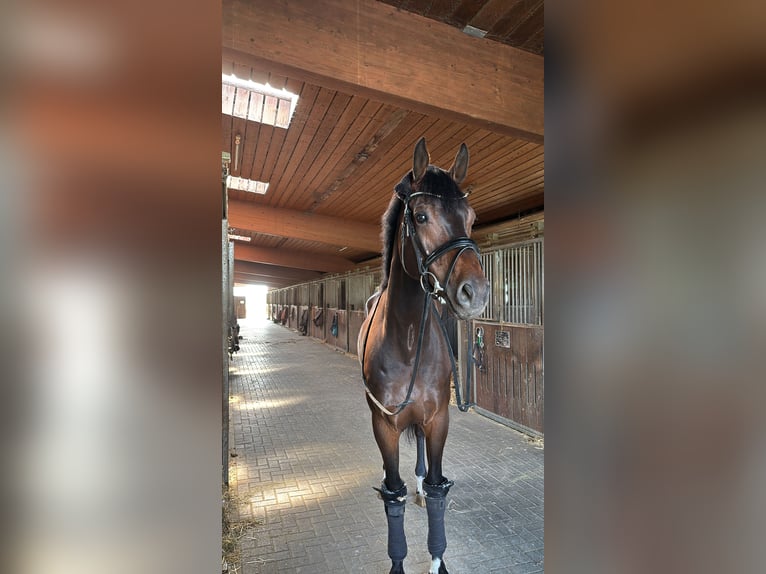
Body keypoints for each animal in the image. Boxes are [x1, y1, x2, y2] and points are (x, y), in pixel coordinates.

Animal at [358, 137, 489, 574]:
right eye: (420, 215)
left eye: (471, 217)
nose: (475, 293)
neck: (408, 336)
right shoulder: (384, 424)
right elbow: (392, 494)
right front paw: (399, 563)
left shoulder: (438, 418)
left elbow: (436, 490)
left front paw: (437, 560)